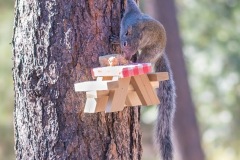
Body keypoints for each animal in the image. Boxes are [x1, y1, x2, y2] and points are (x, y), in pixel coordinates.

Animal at [110, 0, 176, 159]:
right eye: (125, 44)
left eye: (134, 47)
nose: (127, 56)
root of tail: (160, 53)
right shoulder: (131, 12)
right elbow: (131, 4)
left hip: (150, 53)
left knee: (143, 59)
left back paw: (135, 63)